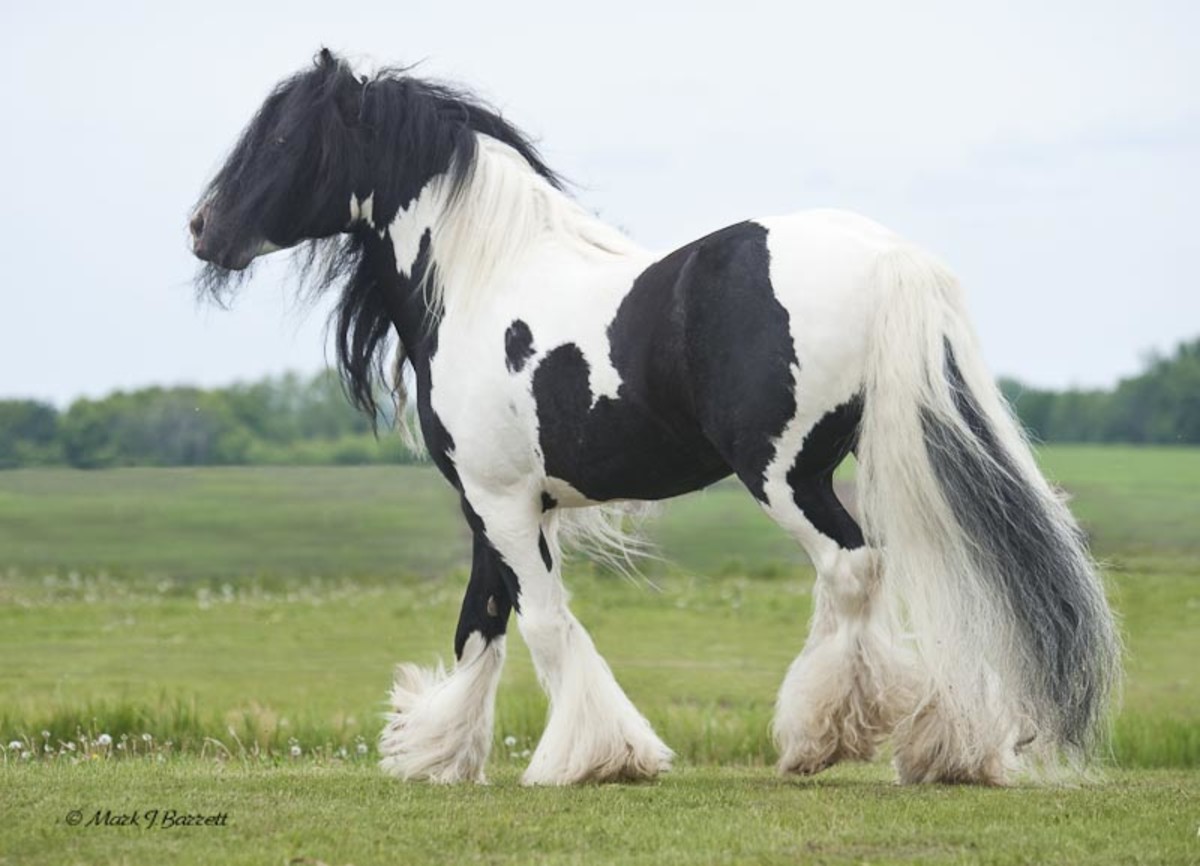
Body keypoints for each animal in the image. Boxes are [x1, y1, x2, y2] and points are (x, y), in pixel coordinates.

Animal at [190, 49, 1119, 787]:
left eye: (282, 139)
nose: (203, 229)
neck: (483, 281)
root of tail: (891, 256)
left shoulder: (500, 501)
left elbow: (542, 622)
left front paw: (592, 758)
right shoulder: (501, 503)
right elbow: (481, 622)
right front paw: (442, 753)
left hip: (786, 473)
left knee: (852, 570)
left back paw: (820, 739)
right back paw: (936, 746)